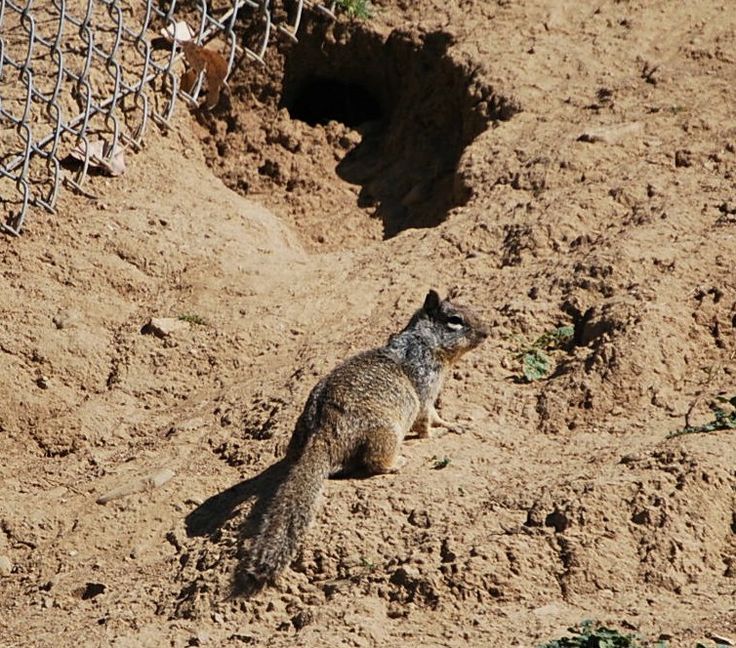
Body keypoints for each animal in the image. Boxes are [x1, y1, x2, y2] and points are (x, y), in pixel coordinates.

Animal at [246, 288, 488, 584]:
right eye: (454, 320)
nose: (487, 331)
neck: (423, 342)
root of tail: (322, 433)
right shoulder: (425, 390)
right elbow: (428, 420)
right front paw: (442, 430)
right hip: (386, 432)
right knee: (374, 463)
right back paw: (398, 463)